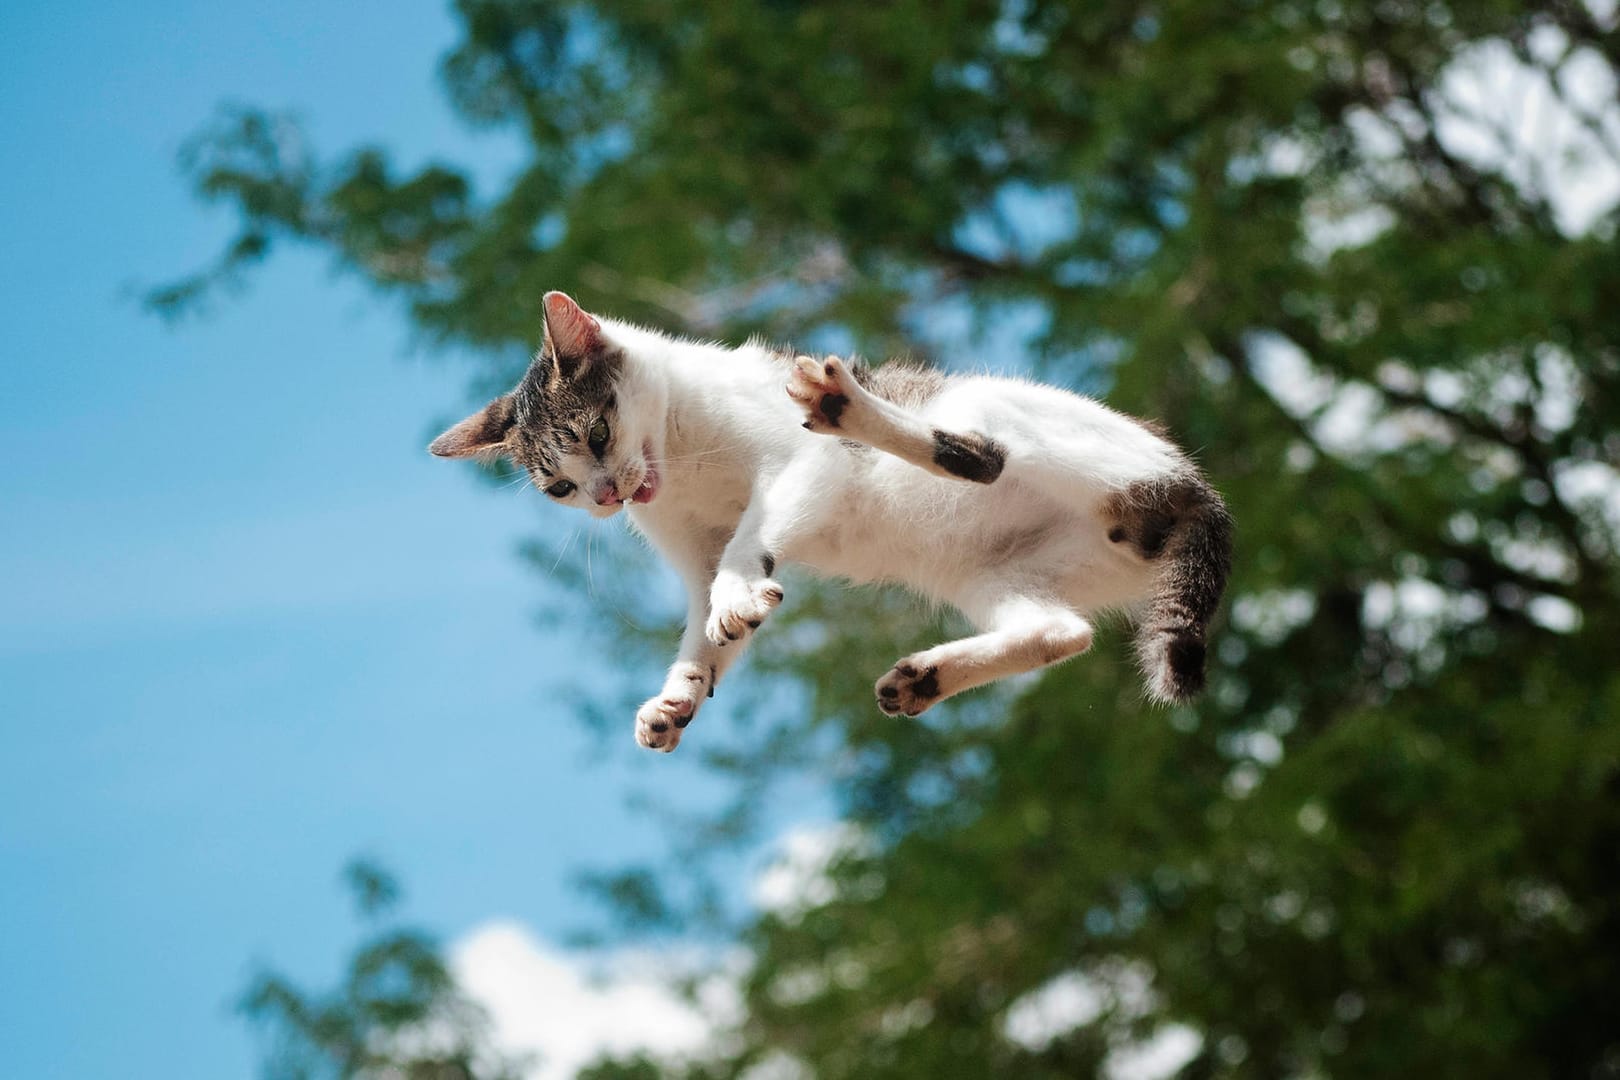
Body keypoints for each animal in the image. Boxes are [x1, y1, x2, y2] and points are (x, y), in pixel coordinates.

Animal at [427, 291, 1224, 757]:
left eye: (596, 434)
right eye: (559, 486)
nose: (604, 497)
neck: (682, 463)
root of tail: (1195, 487)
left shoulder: (802, 467)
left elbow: (750, 540)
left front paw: (737, 595)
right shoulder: (691, 552)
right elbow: (702, 626)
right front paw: (680, 695)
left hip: (996, 411)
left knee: (985, 456)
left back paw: (847, 407)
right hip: (995, 572)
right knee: (1061, 632)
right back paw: (923, 678)